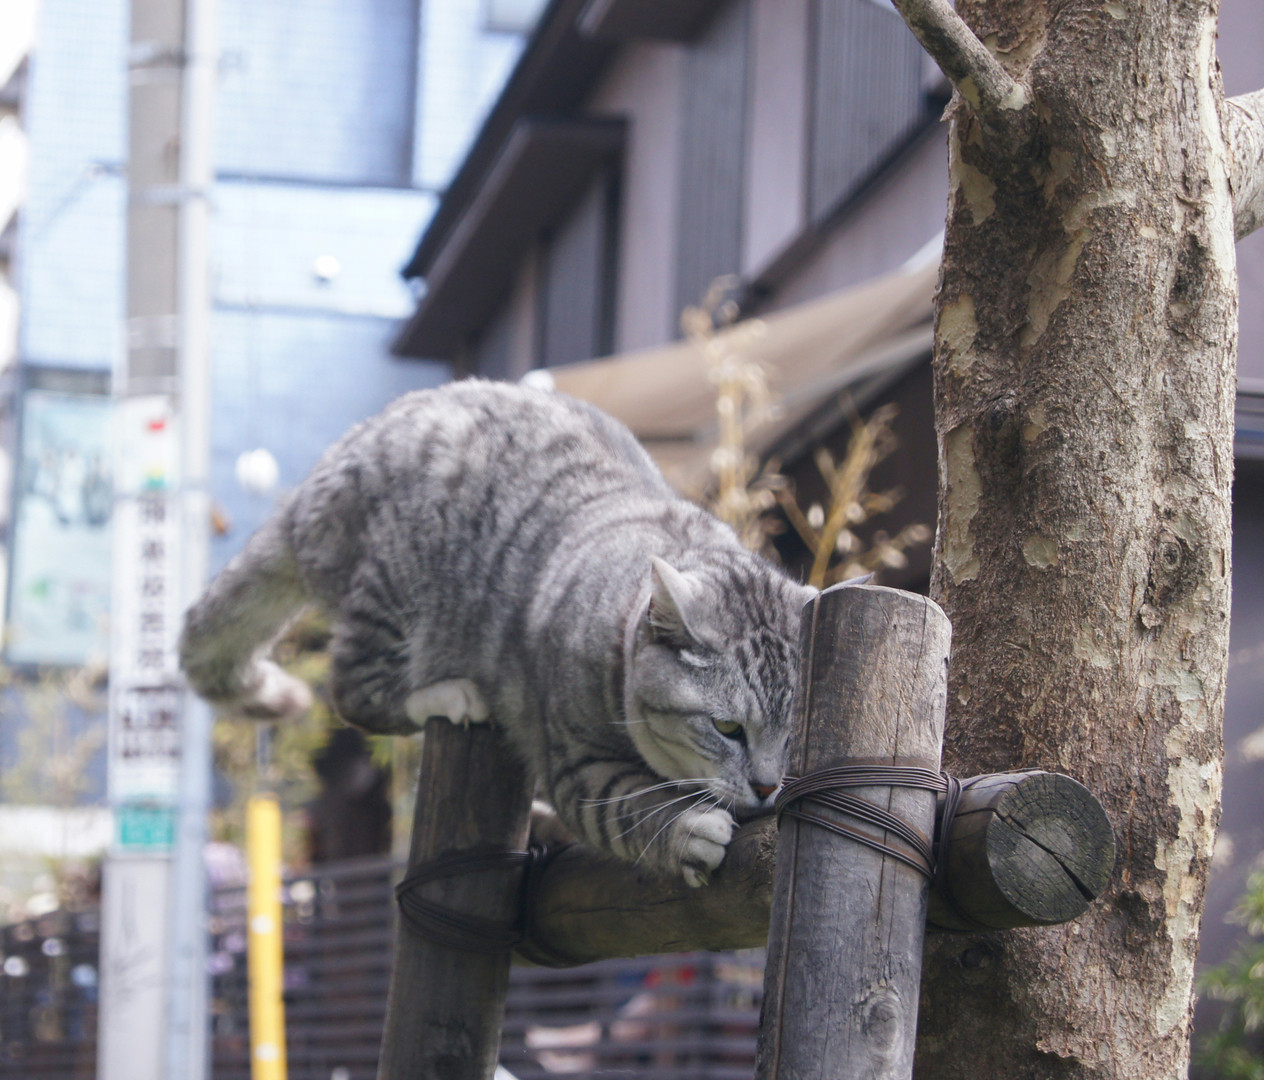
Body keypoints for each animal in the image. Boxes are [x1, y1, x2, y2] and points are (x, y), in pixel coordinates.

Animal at [179, 380, 815, 886]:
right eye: (728, 729)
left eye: (794, 734)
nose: (767, 786)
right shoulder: (575, 764)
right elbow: (628, 806)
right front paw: (687, 828)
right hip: (394, 593)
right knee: (355, 691)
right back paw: (450, 695)